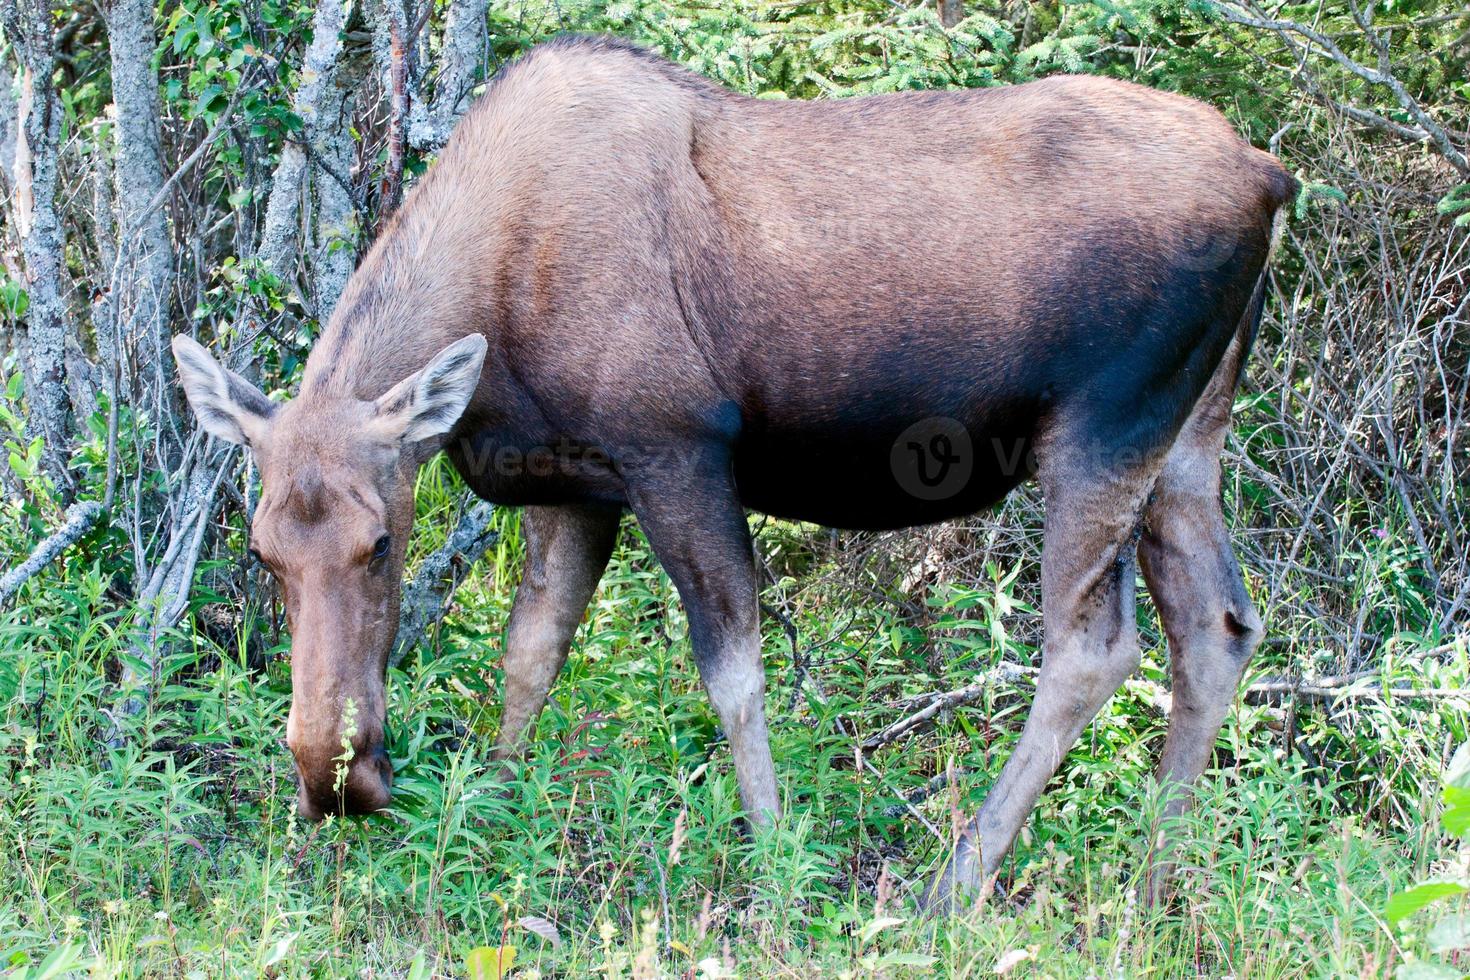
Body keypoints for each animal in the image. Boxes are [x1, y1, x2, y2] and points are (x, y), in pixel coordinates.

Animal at [174, 34, 1299, 910]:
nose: (334, 777)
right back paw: (1151, 884)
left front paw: (776, 867)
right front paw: (488, 813)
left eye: (381, 541)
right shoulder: (576, 487)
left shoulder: (674, 449)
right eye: (264, 551)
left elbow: (732, 671)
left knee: (1092, 646)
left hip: (1104, 425)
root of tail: (1270, 176)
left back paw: (953, 886)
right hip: (1188, 436)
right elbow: (530, 652)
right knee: (1219, 626)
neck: (494, 289)